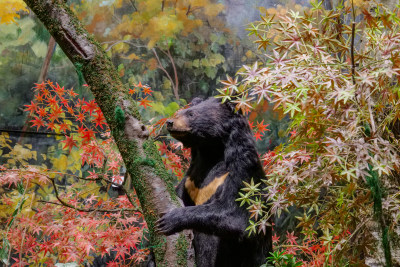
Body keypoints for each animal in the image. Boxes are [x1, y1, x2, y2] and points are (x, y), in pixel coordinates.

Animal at [156, 97, 272, 266]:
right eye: (180, 112)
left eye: (191, 114)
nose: (170, 122)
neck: (210, 153)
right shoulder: (190, 179)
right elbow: (179, 193)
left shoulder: (243, 172)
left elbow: (235, 215)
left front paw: (169, 220)